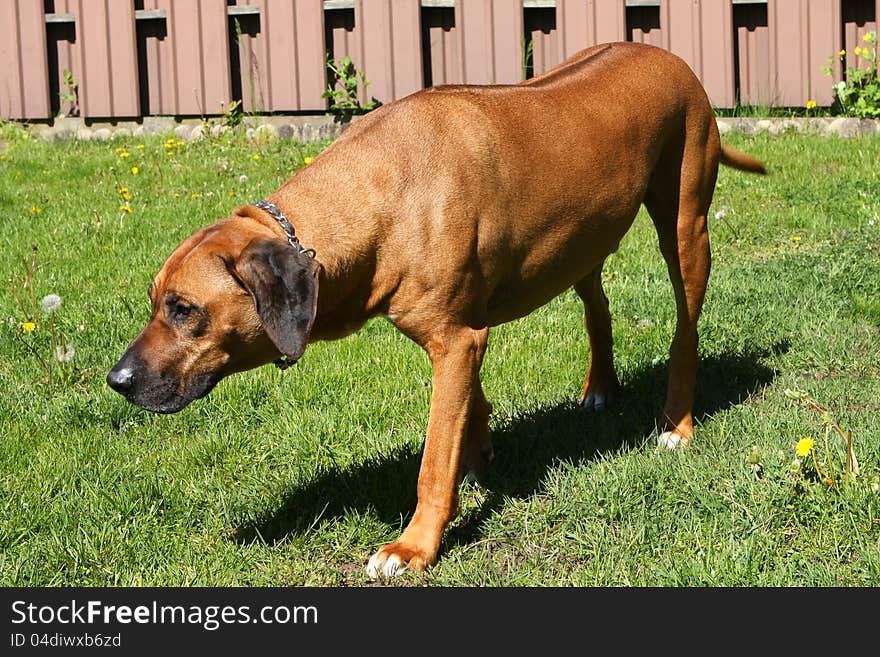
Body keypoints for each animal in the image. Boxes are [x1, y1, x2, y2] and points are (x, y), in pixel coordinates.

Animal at [108, 42, 764, 576]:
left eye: (184, 309)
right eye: (154, 302)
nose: (117, 380)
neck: (375, 194)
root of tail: (668, 55)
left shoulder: (455, 339)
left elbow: (432, 457)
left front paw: (414, 545)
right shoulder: (466, 331)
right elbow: (469, 406)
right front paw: (477, 457)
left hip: (685, 221)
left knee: (685, 328)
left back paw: (676, 424)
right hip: (581, 238)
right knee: (596, 306)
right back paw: (600, 387)